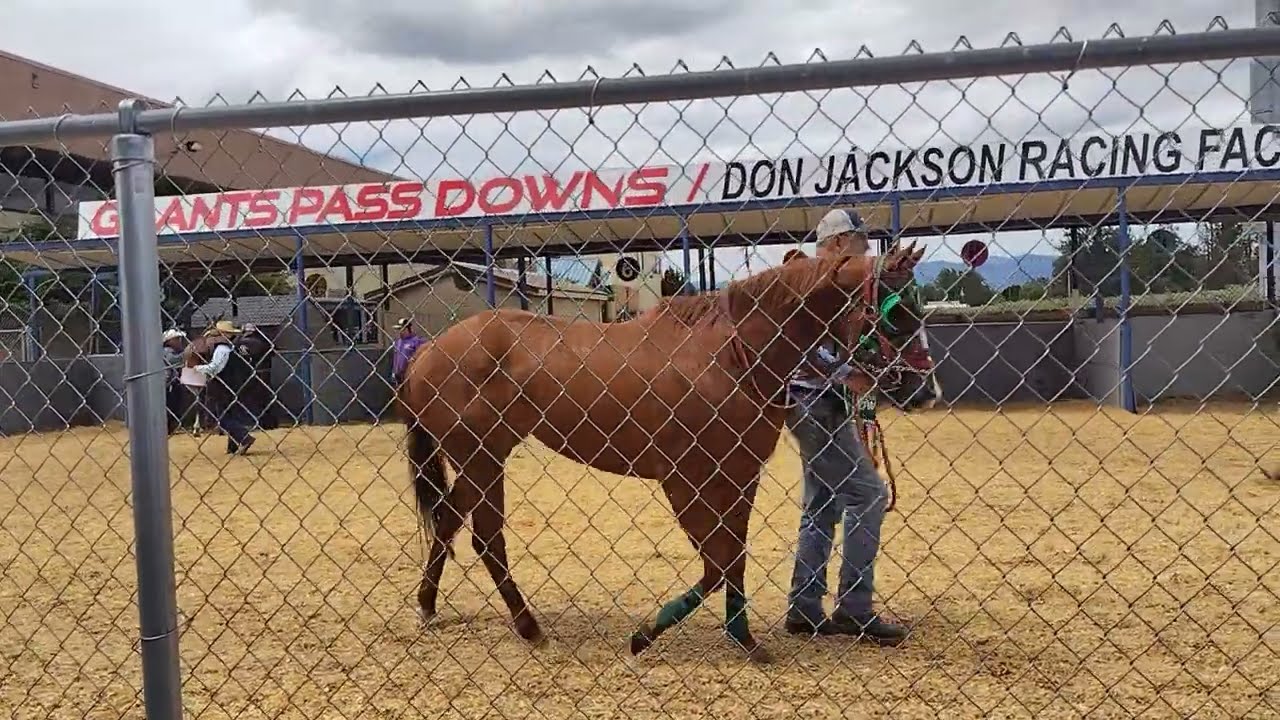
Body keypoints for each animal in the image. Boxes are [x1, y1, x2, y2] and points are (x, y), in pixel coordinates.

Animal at [398, 242, 936, 662]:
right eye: (895, 311)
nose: (921, 388)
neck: (730, 357)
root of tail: (428, 352)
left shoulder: (739, 476)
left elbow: (734, 558)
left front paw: (743, 639)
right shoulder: (685, 480)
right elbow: (717, 564)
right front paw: (645, 635)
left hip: (482, 459)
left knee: (449, 524)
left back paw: (430, 606)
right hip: (480, 458)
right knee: (485, 537)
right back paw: (528, 628)